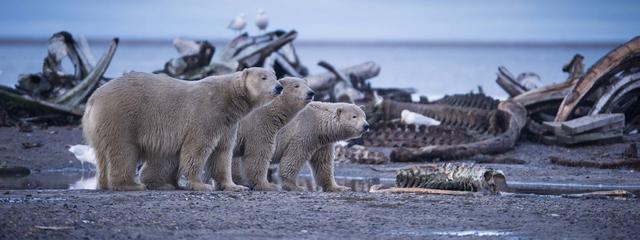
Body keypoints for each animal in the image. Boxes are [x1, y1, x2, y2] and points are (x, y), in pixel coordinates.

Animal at [82, 67, 280, 191]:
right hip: (121, 117)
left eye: (275, 75)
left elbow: (222, 153)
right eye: (263, 77)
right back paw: (131, 185)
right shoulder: (207, 114)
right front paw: (200, 185)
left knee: (103, 156)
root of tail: (92, 99)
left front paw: (235, 186)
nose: (279, 87)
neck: (229, 98)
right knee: (124, 151)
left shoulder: (228, 124)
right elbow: (197, 149)